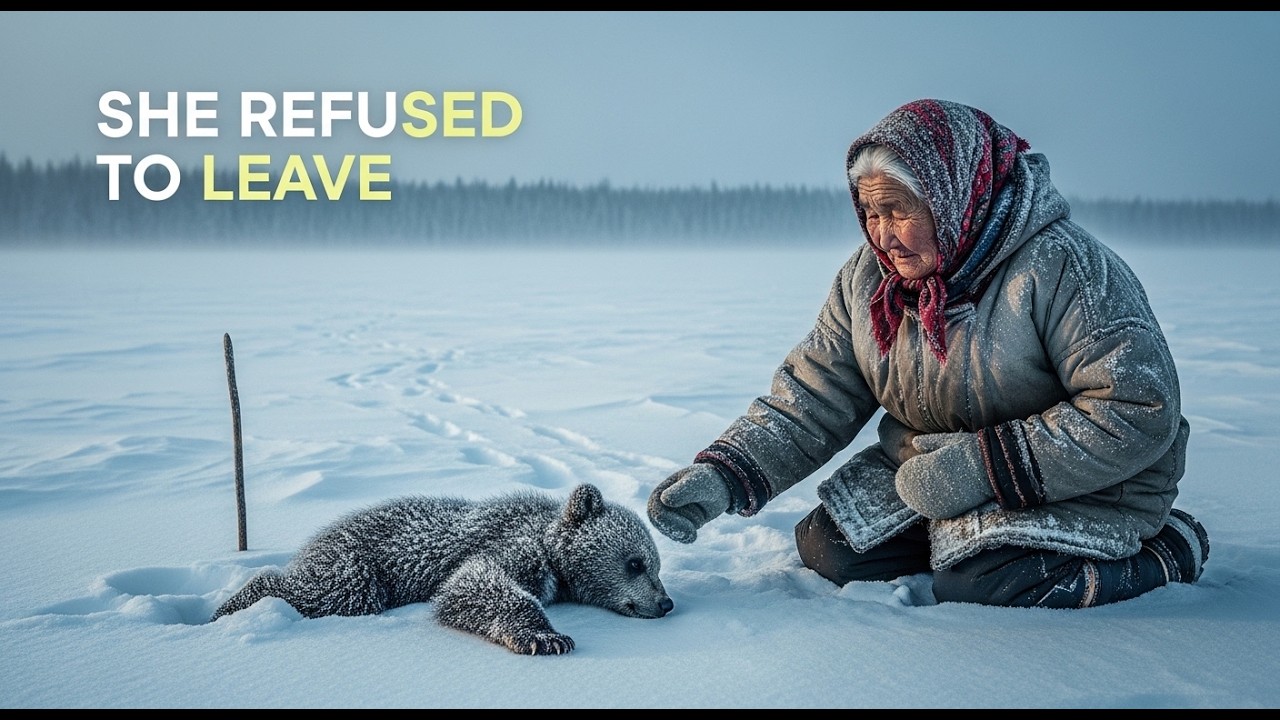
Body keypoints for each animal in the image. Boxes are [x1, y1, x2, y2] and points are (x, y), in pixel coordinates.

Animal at [209, 483, 673, 655]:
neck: (548, 540)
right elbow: (472, 583)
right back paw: (230, 606)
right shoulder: (512, 543)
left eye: (657, 565)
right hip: (355, 564)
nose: (665, 603)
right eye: (635, 563)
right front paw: (545, 637)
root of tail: (317, 539)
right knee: (327, 591)